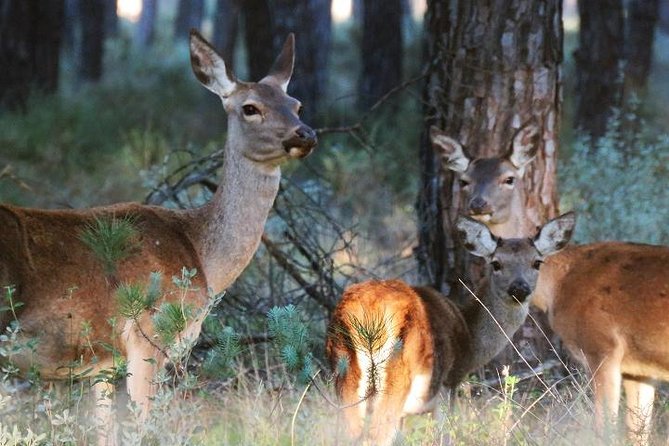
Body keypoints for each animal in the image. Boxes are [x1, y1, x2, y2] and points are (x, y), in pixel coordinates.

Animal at [0, 30, 316, 442]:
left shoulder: (103, 364)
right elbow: (140, 428)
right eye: (250, 107)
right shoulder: (147, 334)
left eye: (297, 104)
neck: (201, 253)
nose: (305, 134)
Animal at [324, 211, 576, 444]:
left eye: (536, 262)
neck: (470, 337)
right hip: (398, 378)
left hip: (344, 373)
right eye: (496, 263)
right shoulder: (450, 382)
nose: (519, 288)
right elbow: (444, 434)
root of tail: (367, 313)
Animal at [430, 125, 664, 446]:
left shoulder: (602, 347)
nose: (478, 204)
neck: (559, 285)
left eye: (509, 178)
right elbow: (638, 432)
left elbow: (603, 429)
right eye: (465, 180)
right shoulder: (639, 369)